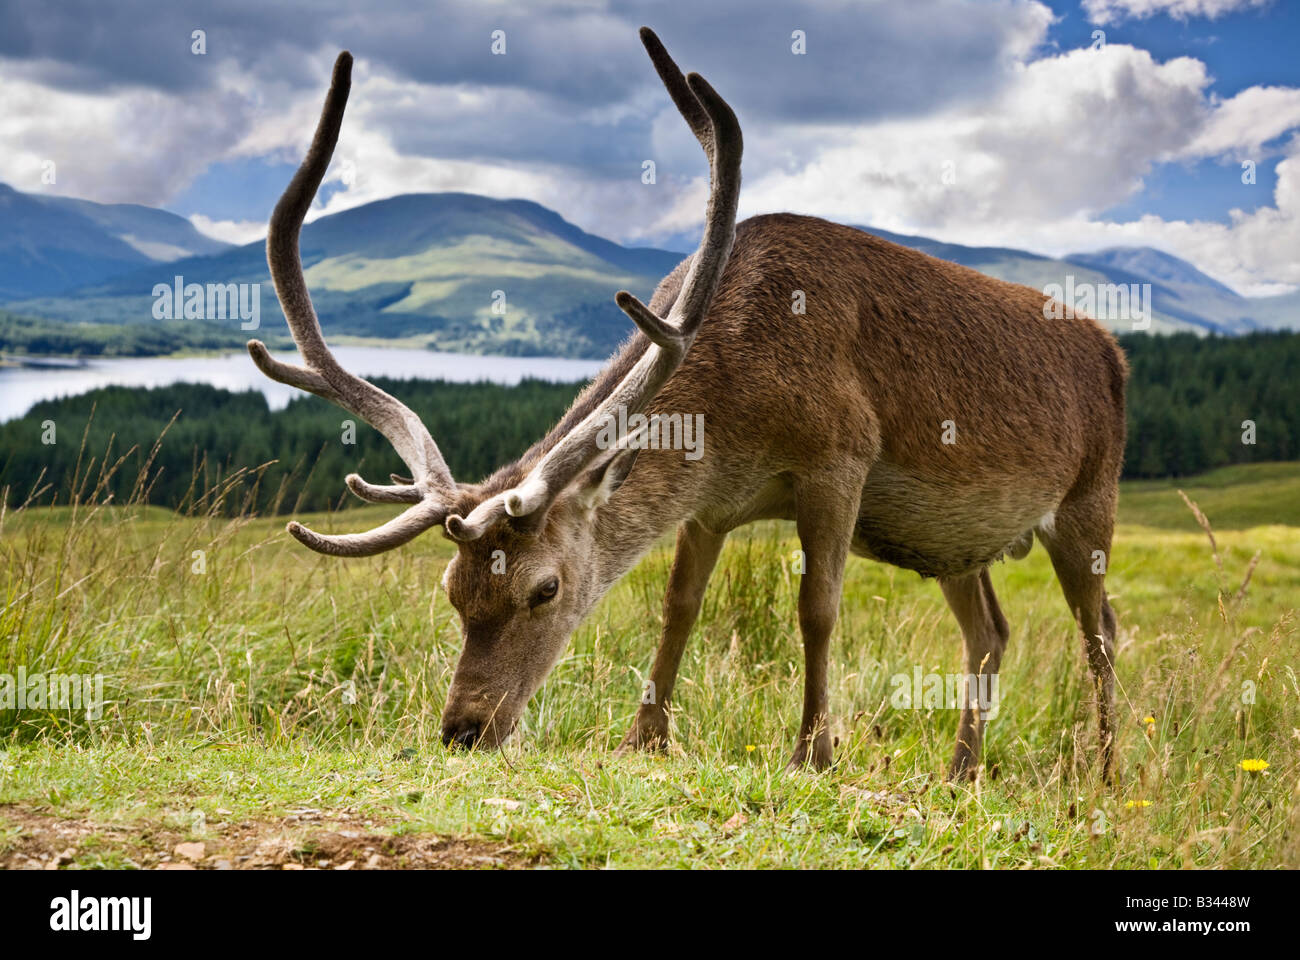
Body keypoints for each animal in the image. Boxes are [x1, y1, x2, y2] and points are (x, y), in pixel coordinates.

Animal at [248, 29, 1123, 780]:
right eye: (452, 592)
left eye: (545, 589)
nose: (464, 728)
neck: (736, 411)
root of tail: (1113, 350)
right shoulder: (710, 503)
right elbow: (679, 606)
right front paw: (644, 737)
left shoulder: (840, 457)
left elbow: (816, 607)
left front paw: (812, 752)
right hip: (955, 546)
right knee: (990, 633)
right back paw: (961, 772)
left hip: (1090, 499)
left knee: (1102, 631)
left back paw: (1105, 774)